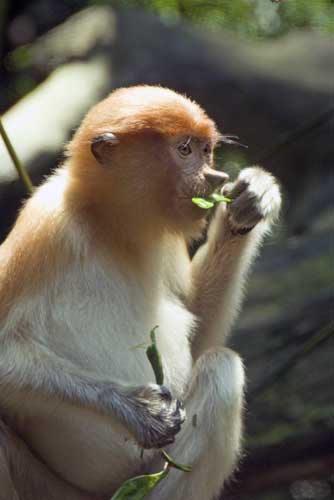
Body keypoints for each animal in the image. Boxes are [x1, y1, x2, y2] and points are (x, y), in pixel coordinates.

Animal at [0, 86, 280, 496]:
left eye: (207, 150)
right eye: (185, 150)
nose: (215, 177)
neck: (112, 225)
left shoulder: (166, 239)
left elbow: (198, 328)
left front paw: (251, 200)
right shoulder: (45, 227)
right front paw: (142, 410)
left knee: (219, 368)